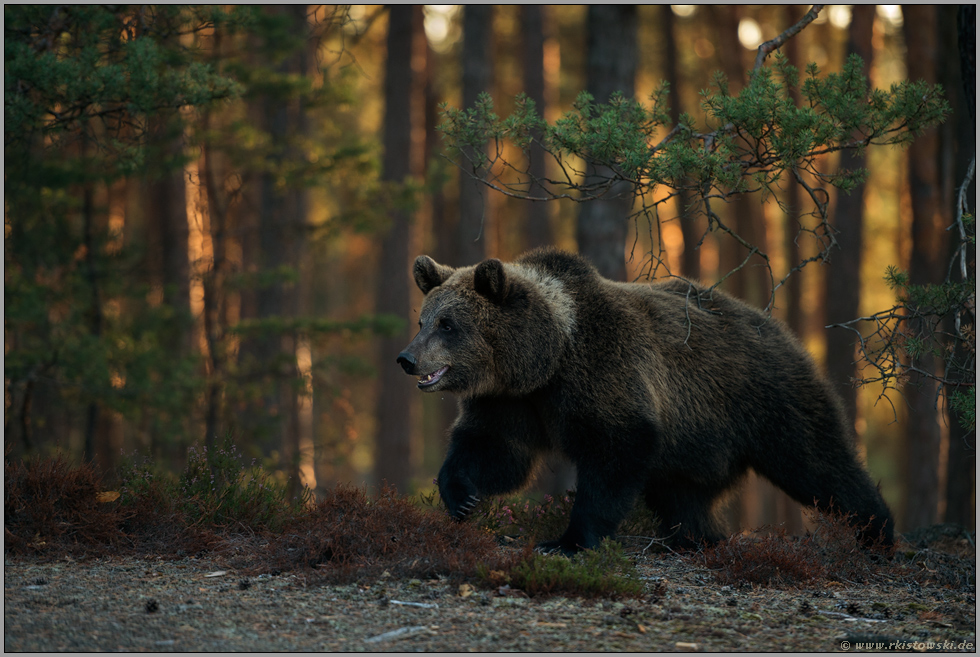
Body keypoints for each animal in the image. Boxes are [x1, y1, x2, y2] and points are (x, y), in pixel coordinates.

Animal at [394, 246, 892, 552]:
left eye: (448, 324)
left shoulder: (602, 376)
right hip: (694, 443)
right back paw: (698, 539)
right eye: (423, 319)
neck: (547, 357)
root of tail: (778, 326)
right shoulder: (513, 402)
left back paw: (877, 534)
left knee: (817, 462)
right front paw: (460, 496)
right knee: (683, 496)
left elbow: (613, 454)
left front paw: (568, 540)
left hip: (764, 397)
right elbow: (495, 450)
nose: (406, 358)